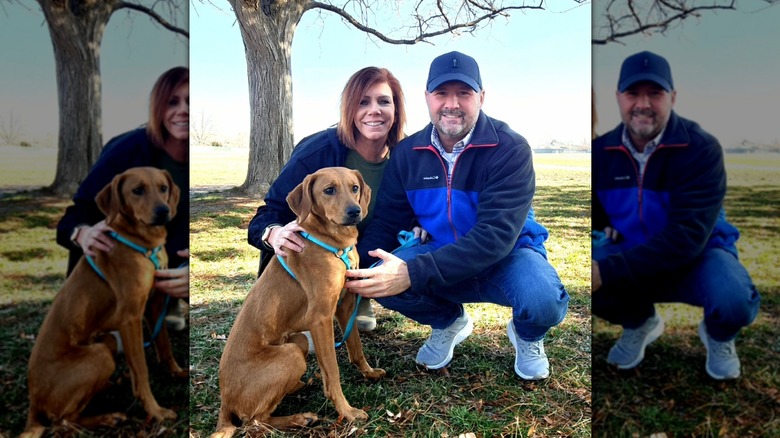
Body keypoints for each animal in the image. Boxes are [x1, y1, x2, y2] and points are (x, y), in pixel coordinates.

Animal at [22, 166, 183, 436]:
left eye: (163, 188)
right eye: (137, 190)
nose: (163, 211)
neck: (143, 241)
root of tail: (34, 402)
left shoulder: (155, 303)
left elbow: (164, 344)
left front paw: (177, 371)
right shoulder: (130, 318)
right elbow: (142, 369)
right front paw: (156, 411)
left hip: (104, 342)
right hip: (99, 355)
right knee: (63, 420)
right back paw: (108, 417)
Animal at [213, 166, 386, 436]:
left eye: (355, 188)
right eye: (329, 190)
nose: (355, 211)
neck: (334, 242)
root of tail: (225, 402)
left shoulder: (346, 305)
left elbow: (355, 347)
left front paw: (368, 373)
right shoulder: (321, 318)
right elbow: (333, 372)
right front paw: (347, 412)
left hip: (299, 341)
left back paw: (298, 386)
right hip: (291, 354)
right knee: (255, 420)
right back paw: (300, 418)